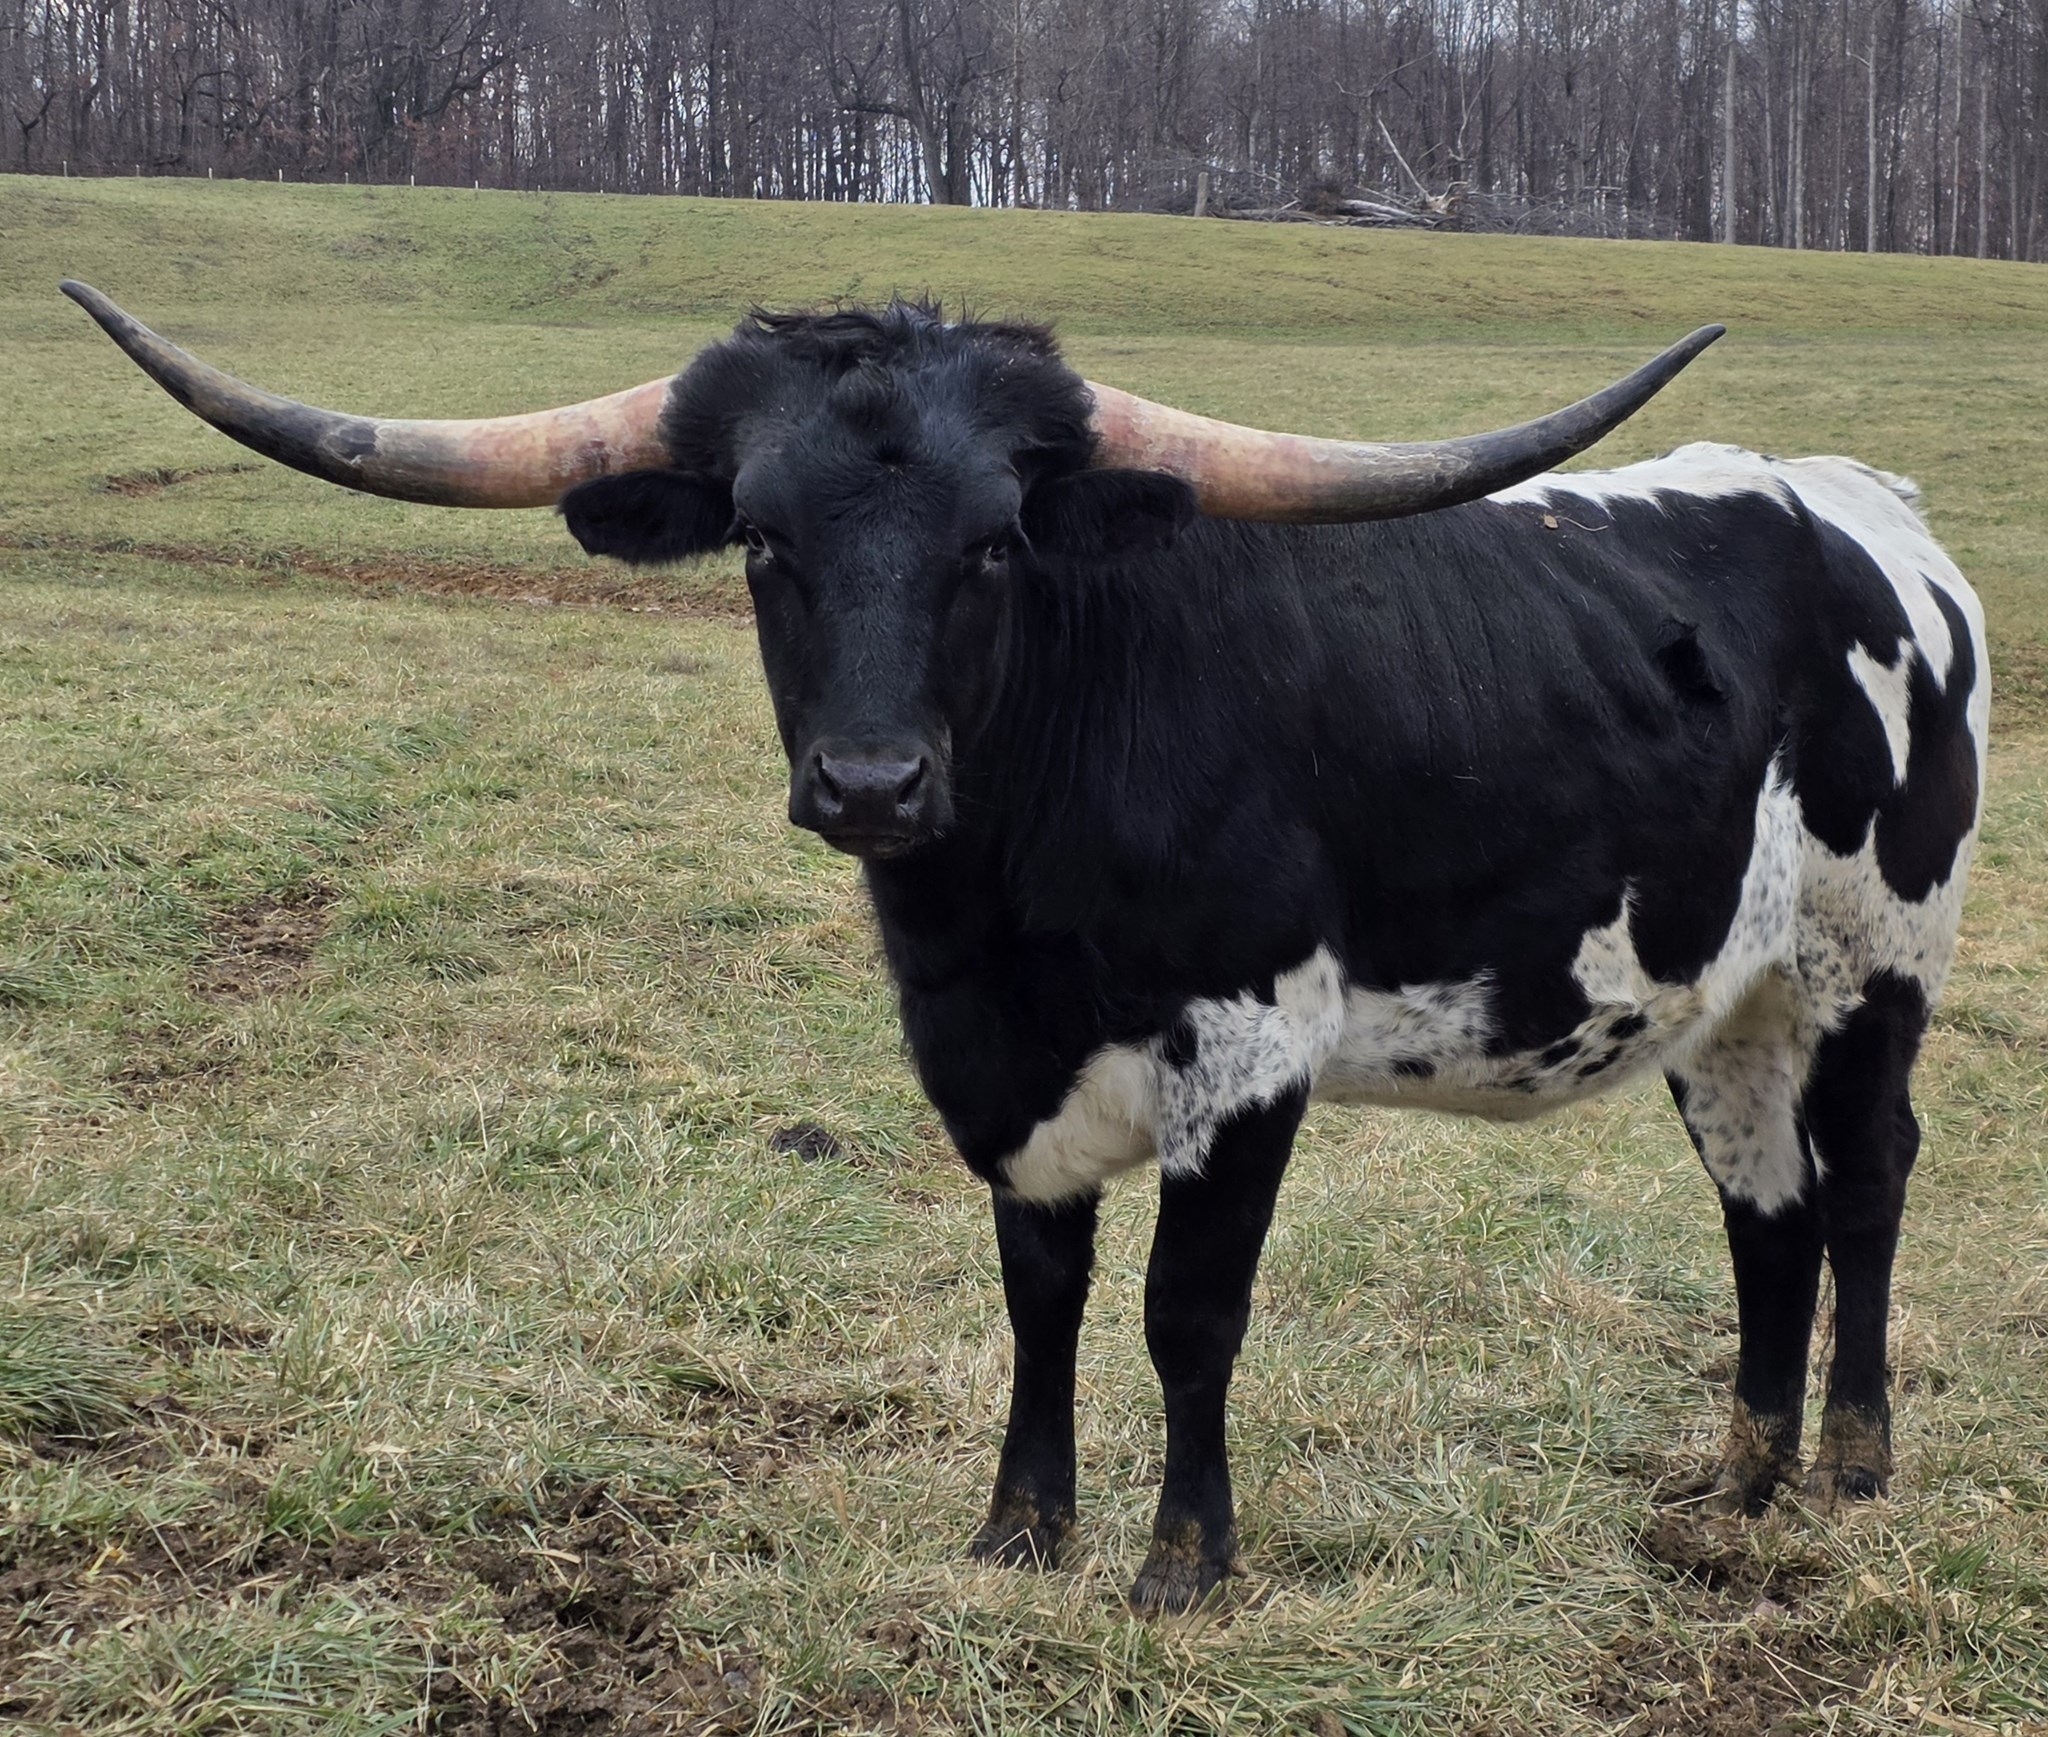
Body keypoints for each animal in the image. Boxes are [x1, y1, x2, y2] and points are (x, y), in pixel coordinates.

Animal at [64, 282, 1988, 1613]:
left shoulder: (1246, 1048)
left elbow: (1184, 1312)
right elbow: (1039, 1294)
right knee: (1765, 1208)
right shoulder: (990, 1065)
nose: (868, 780)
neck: (1000, 919)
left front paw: (1180, 1565)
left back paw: (1851, 1461)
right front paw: (1017, 1531)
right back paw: (1736, 1478)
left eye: (993, 543)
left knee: (1867, 1179)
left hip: (1870, 961)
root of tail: (1856, 504)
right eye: (759, 536)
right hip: (1721, 1001)